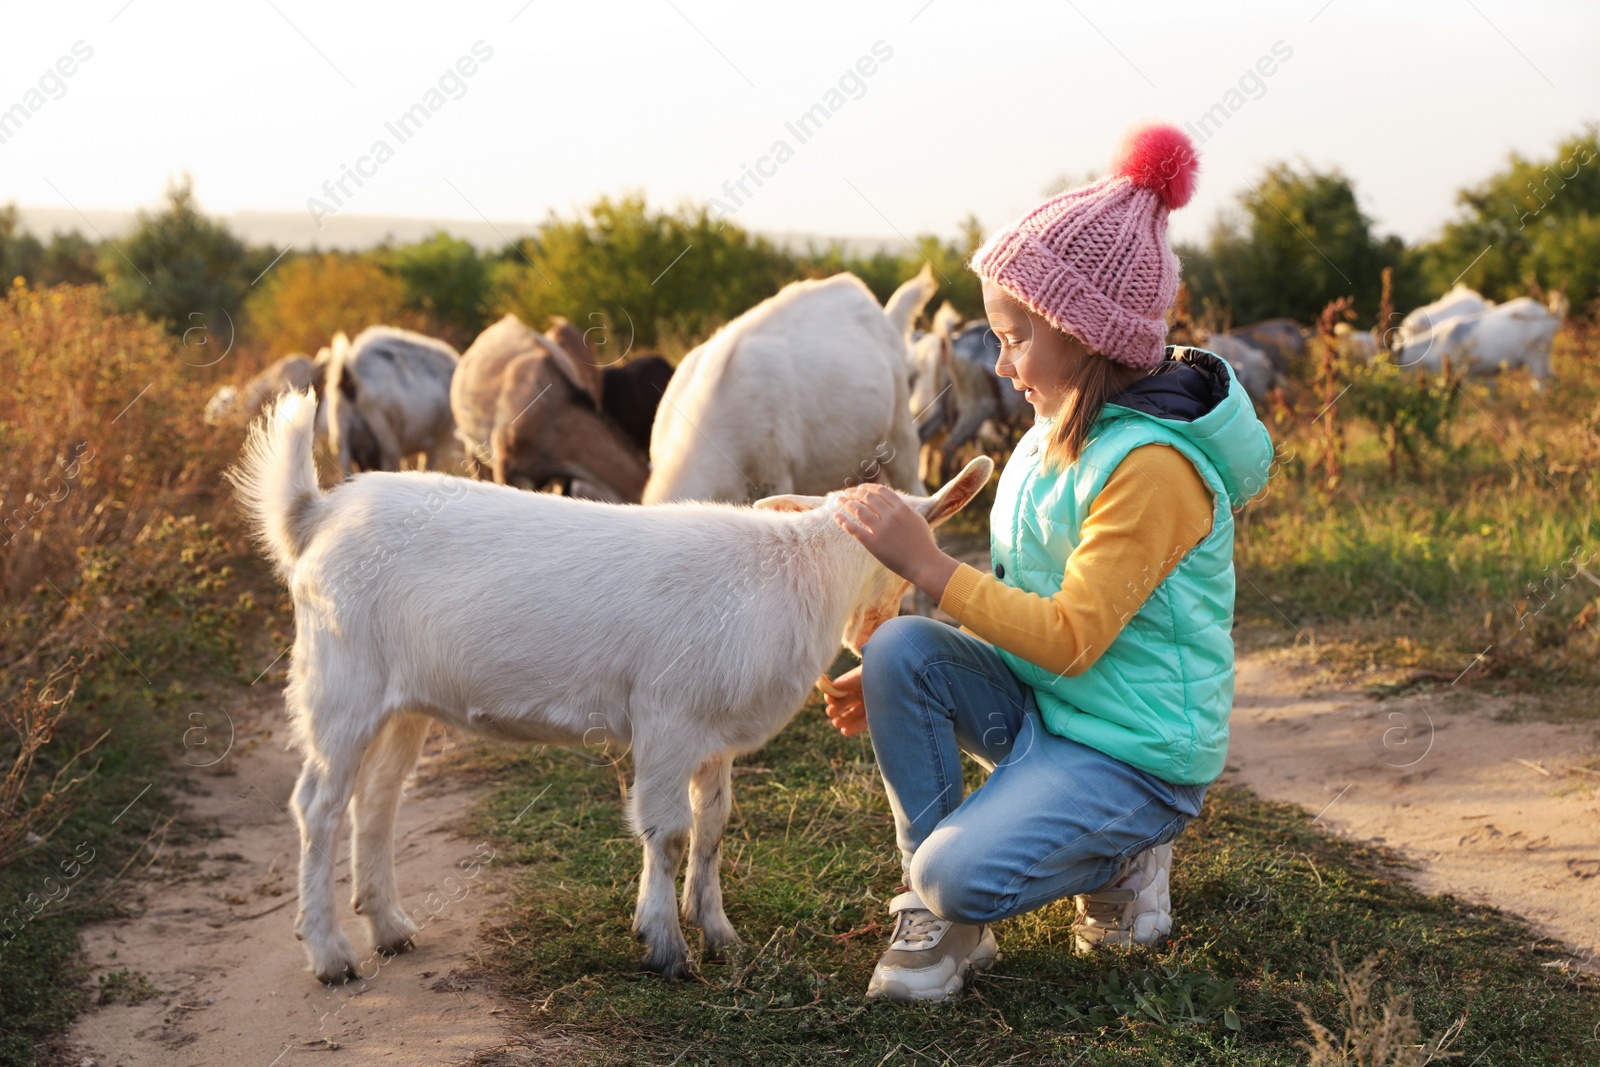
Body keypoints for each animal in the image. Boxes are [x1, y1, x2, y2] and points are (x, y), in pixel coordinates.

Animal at [232, 390, 992, 985]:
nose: (874, 633)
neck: (796, 574)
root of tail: (317, 512)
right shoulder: (666, 719)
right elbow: (668, 831)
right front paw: (665, 944)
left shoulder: (714, 735)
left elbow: (713, 825)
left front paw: (718, 931)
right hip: (341, 685)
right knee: (318, 807)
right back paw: (331, 954)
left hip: (403, 704)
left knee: (378, 800)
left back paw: (389, 925)